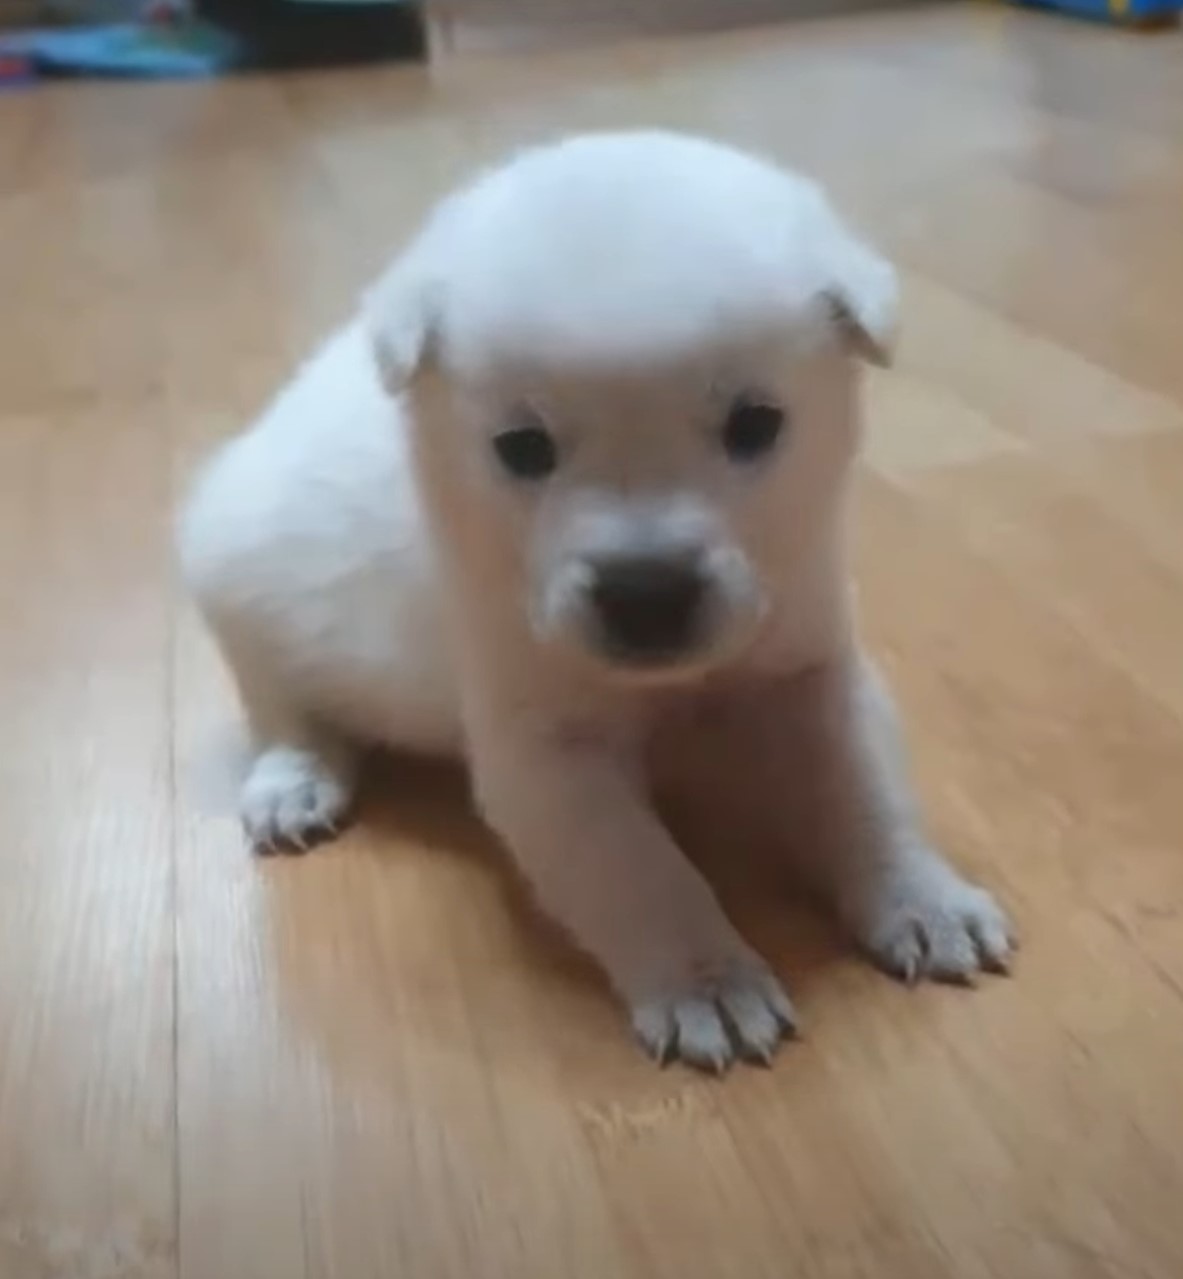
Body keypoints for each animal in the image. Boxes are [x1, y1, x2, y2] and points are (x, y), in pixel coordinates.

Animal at [180, 132, 1012, 1069]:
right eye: (520, 446)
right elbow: (635, 866)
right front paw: (707, 981)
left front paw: (924, 897)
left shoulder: (807, 664)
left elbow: (864, 790)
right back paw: (295, 780)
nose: (646, 595)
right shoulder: (544, 744)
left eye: (756, 424)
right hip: (237, 577)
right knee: (282, 705)